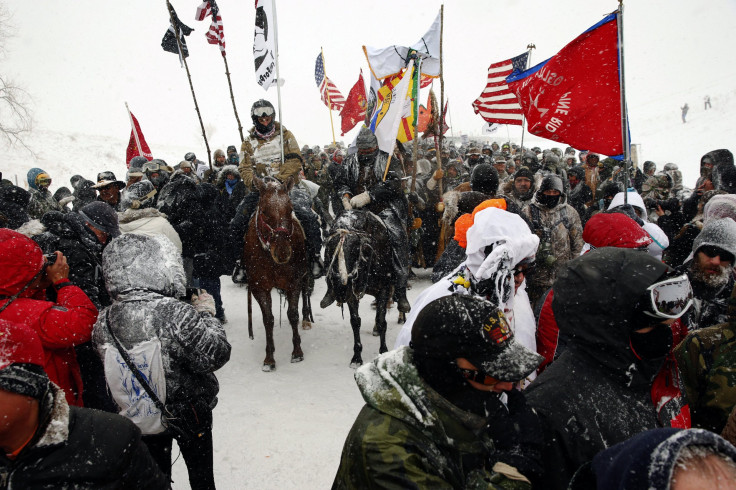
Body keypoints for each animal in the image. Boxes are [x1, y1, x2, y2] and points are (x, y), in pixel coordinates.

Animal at [243, 177, 310, 372]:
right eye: (265, 211)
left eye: (290, 209)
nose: (282, 252)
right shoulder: (259, 288)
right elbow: (268, 320)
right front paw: (269, 358)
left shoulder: (294, 283)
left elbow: (293, 314)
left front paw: (297, 352)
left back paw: (306, 319)